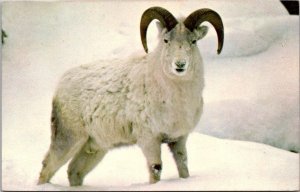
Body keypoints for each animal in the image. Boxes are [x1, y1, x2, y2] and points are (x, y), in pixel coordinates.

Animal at [37, 6, 224, 186]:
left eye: (193, 41)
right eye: (166, 40)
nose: (179, 65)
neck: (173, 96)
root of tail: (60, 85)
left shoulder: (178, 140)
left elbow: (183, 167)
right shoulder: (149, 139)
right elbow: (156, 169)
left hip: (93, 148)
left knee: (73, 171)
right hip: (69, 140)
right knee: (47, 167)